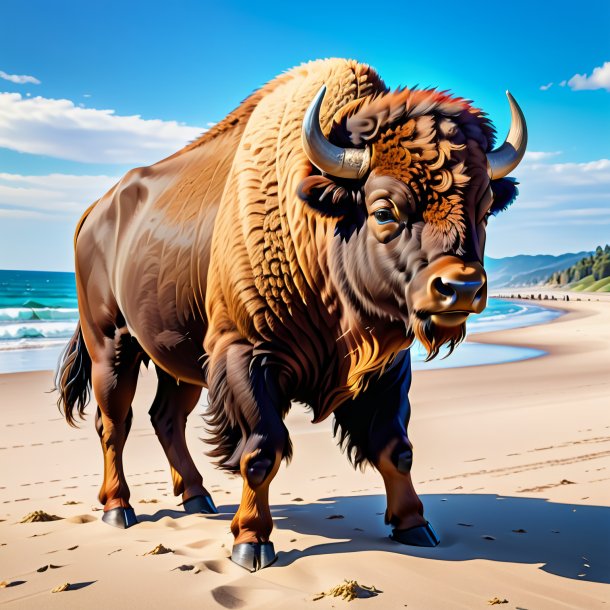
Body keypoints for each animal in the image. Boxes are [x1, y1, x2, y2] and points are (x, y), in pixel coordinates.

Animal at [54, 58, 524, 568]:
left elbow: (395, 446)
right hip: (110, 343)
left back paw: (198, 497)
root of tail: (94, 212)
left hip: (178, 358)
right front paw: (251, 542)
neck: (317, 224)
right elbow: (262, 450)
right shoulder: (246, 356)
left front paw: (414, 525)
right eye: (384, 211)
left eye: (484, 209)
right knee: (114, 422)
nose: (461, 287)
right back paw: (118, 509)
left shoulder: (386, 367)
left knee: (166, 418)